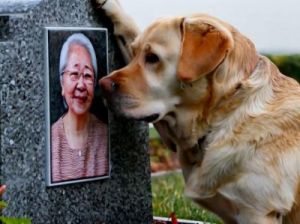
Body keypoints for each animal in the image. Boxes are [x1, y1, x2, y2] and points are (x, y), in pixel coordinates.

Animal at [95, 0, 300, 223]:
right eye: (135, 54)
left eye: (152, 58)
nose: (102, 84)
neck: (224, 115)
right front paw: (114, 9)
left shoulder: (257, 212)